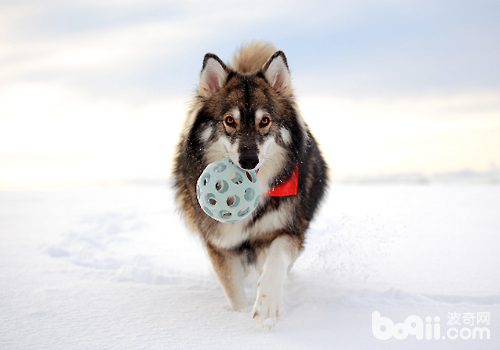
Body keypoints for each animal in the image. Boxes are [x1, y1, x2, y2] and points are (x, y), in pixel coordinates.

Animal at [172, 41, 328, 328]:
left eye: (264, 121)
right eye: (229, 120)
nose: (247, 160)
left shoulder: (289, 230)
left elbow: (276, 259)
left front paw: (267, 304)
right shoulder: (220, 244)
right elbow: (233, 289)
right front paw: (241, 315)